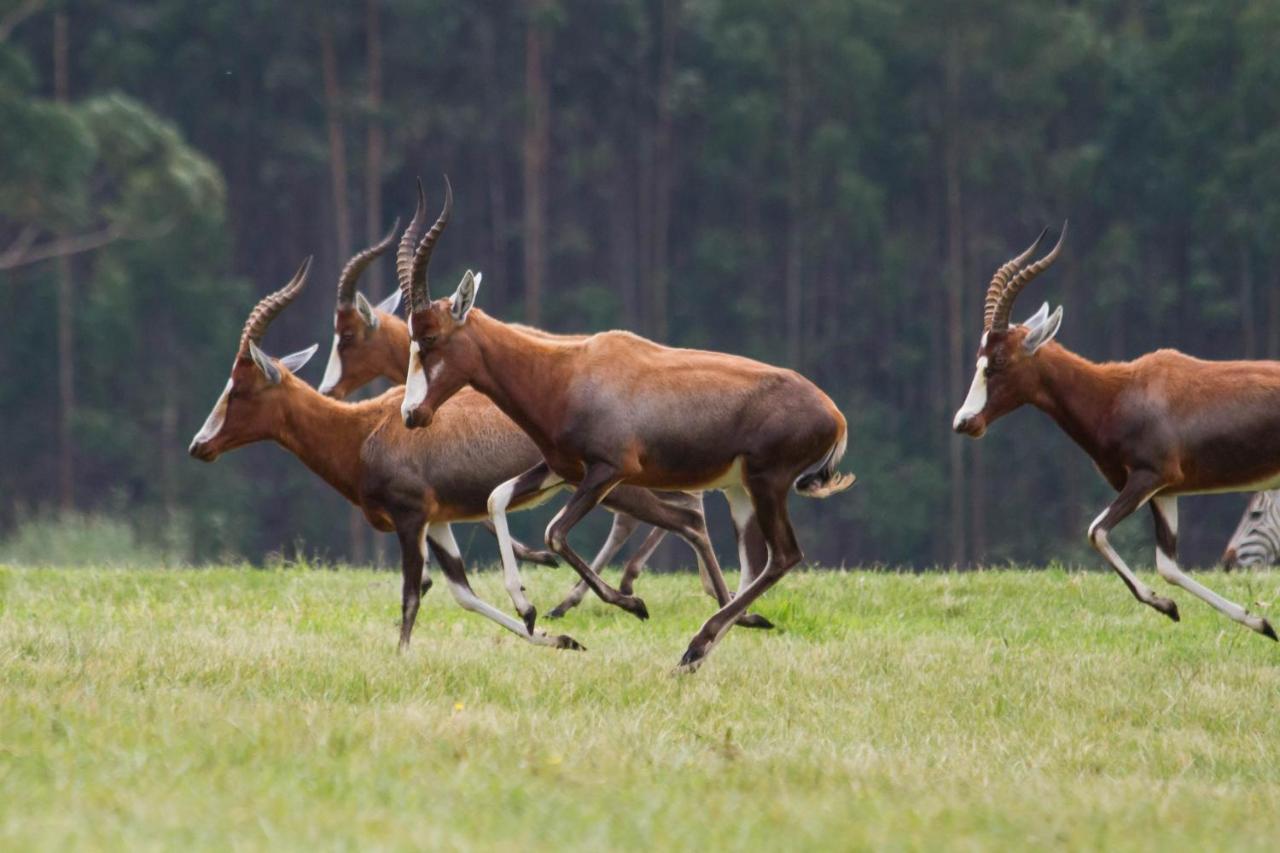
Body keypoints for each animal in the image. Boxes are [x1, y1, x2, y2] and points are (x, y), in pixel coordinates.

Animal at [396, 180, 860, 671]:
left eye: (429, 337)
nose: (412, 415)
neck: (566, 371)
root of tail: (834, 413)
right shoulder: (562, 468)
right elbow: (496, 498)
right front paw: (526, 608)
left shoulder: (609, 470)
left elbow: (554, 531)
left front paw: (630, 604)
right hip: (739, 489)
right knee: (753, 563)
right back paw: (705, 649)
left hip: (766, 483)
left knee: (783, 555)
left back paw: (694, 647)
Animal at [957, 224, 1274, 637]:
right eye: (979, 358)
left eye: (997, 361)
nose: (964, 421)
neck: (1119, 391)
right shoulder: (1165, 491)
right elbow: (1168, 566)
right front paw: (1257, 622)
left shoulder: (1149, 477)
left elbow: (1096, 531)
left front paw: (1168, 605)